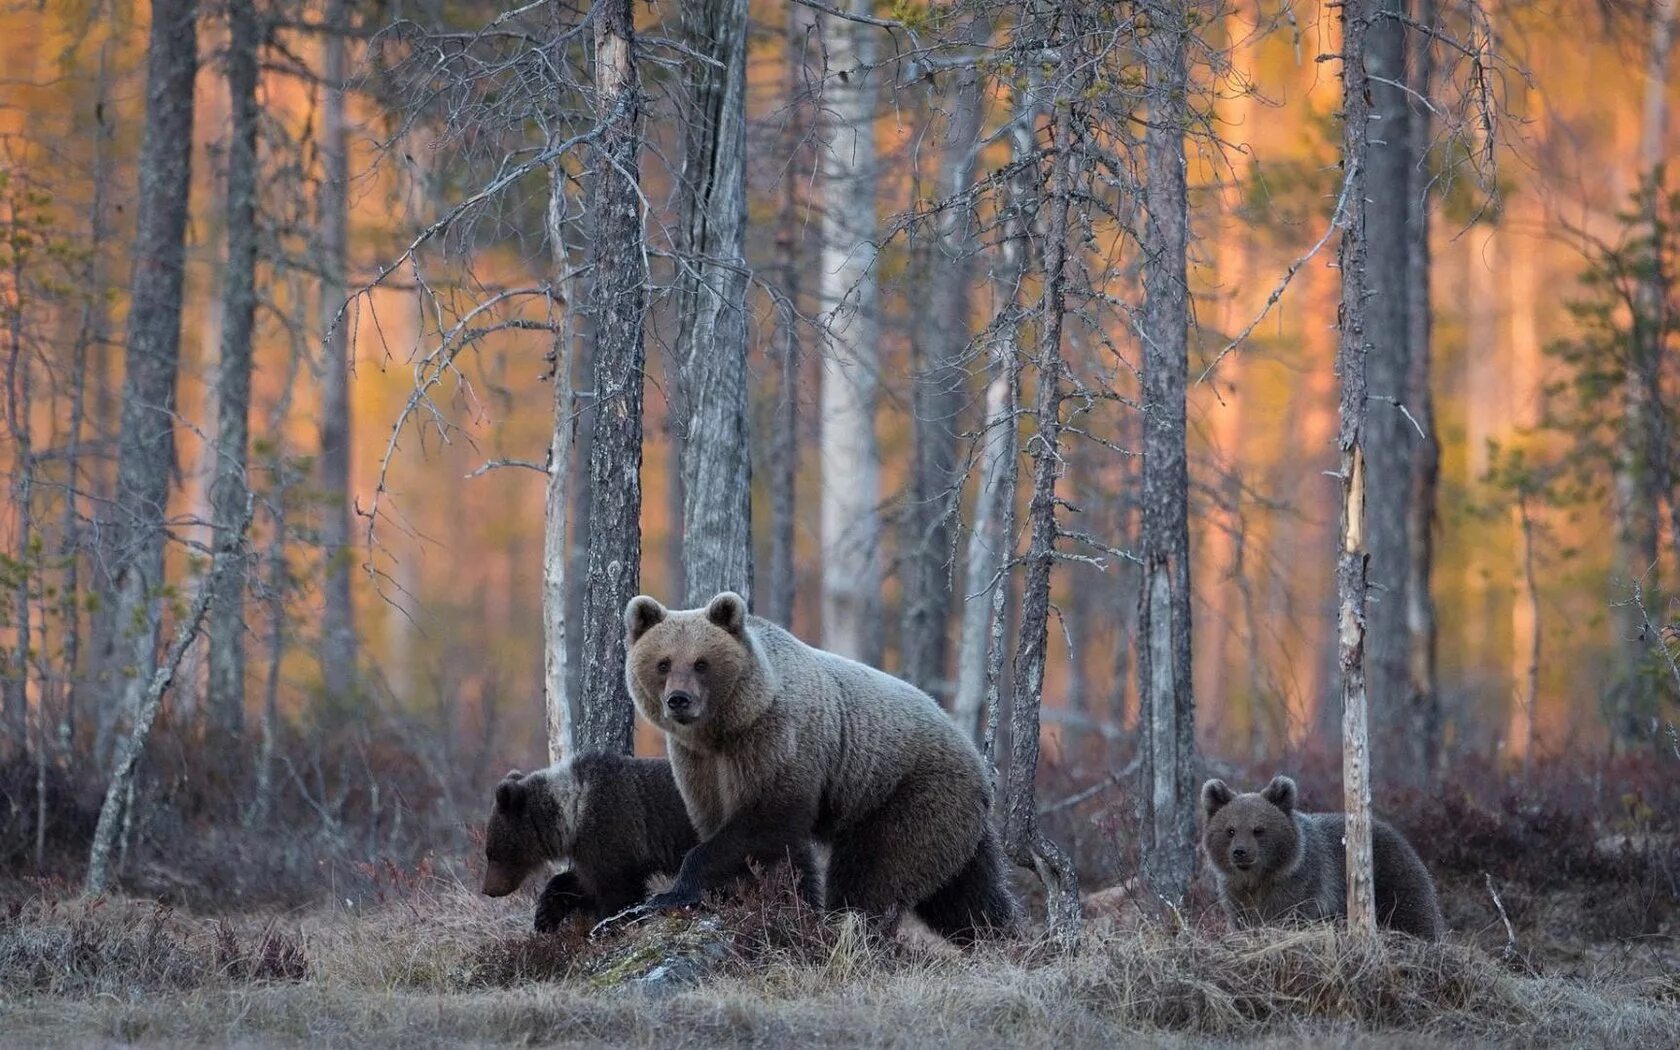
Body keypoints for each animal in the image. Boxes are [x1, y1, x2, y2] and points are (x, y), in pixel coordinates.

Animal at [624, 591, 1014, 940]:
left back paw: (851, 929)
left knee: (877, 873)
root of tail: (977, 760)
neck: (725, 729)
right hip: (954, 822)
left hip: (909, 794)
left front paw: (673, 892)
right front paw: (773, 901)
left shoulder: (776, 742)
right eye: (663, 663)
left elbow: (766, 821)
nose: (679, 700)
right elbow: (745, 836)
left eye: (701, 663)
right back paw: (999, 937)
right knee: (965, 892)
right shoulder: (698, 764)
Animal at [1202, 769, 1451, 940]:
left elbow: (1288, 915)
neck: (1259, 878)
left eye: (1258, 829)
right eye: (1230, 830)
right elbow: (1243, 920)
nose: (1240, 852)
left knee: (1415, 914)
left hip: (1395, 878)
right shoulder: (1235, 894)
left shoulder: (1300, 886)